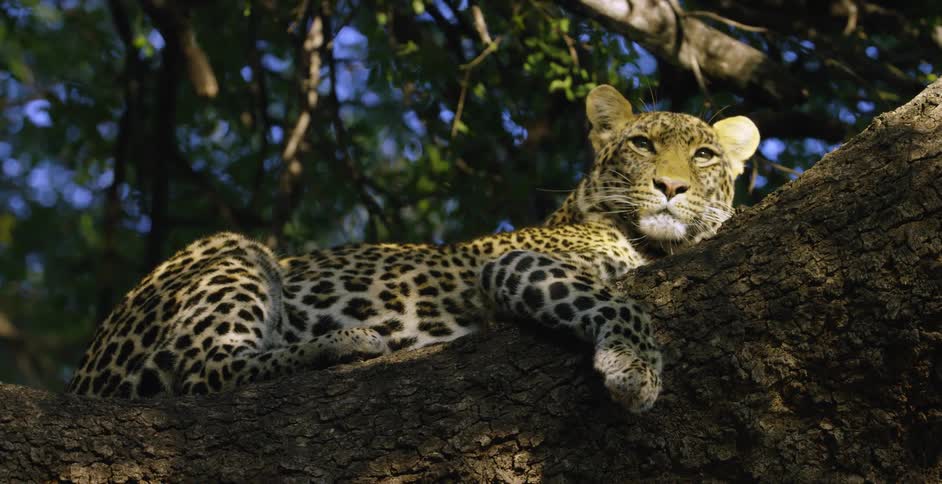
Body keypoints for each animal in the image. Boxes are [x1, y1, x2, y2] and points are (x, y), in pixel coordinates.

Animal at [68, 85, 759, 413]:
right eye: (642, 144)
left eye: (704, 155)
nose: (670, 187)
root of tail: (81, 378)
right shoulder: (512, 263)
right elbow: (621, 302)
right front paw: (635, 367)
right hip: (230, 251)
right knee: (207, 370)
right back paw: (345, 344)